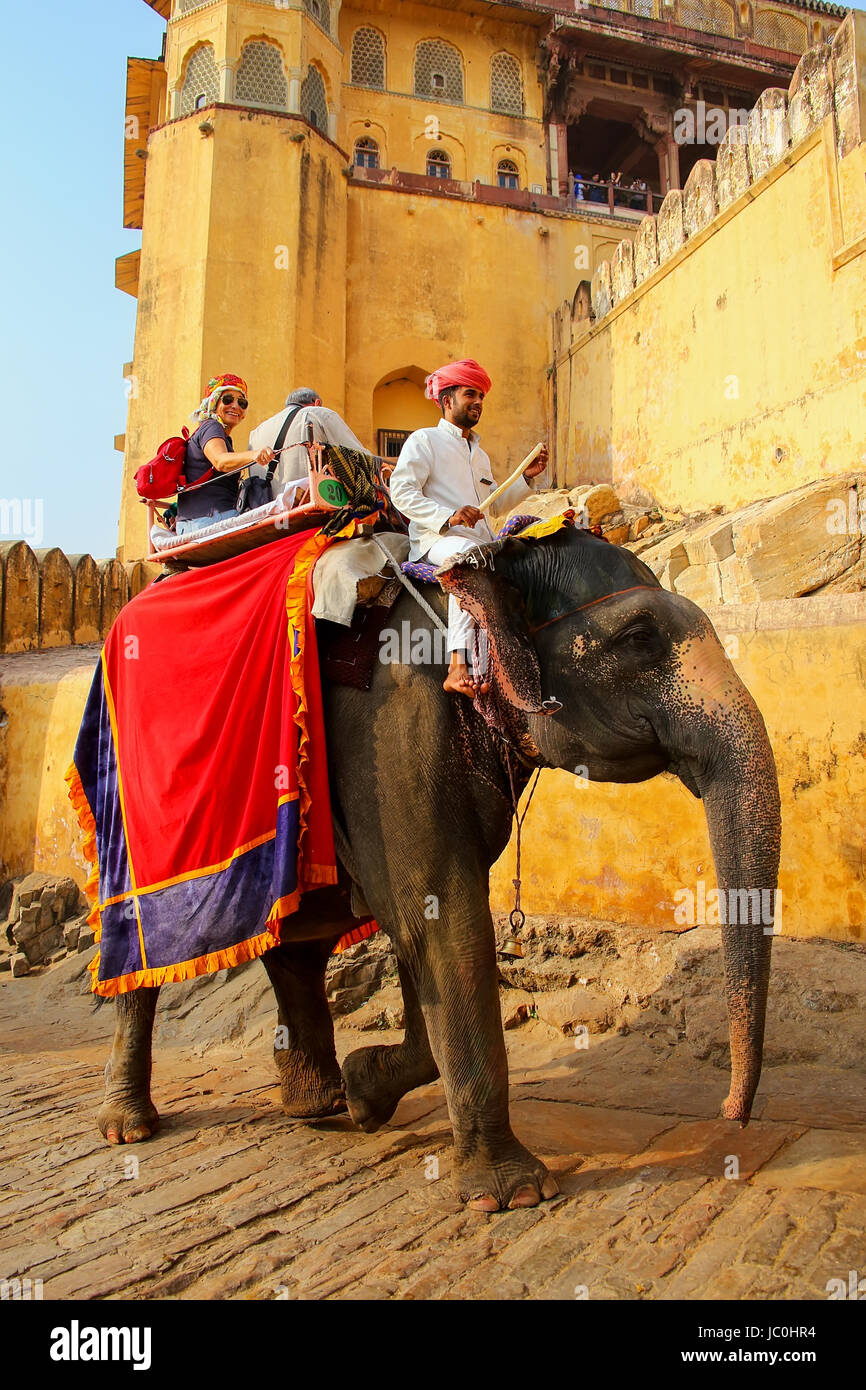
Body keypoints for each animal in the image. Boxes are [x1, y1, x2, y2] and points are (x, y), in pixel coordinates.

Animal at [98, 523, 781, 1214]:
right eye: (638, 637)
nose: (731, 1115)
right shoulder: (389, 732)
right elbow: (441, 918)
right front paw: (511, 1194)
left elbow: (419, 923)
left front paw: (366, 1092)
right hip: (130, 811)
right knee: (140, 945)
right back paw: (129, 1126)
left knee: (298, 944)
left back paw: (317, 1105)